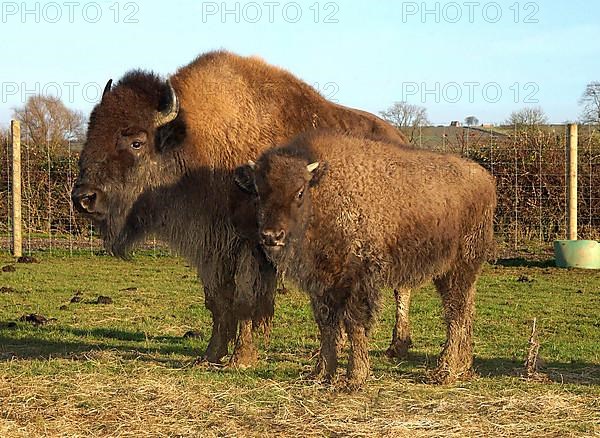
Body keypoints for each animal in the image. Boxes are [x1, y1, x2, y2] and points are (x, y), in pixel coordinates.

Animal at [70, 50, 408, 366]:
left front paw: (242, 358)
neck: (195, 142)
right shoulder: (211, 246)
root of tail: (401, 138)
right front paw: (211, 354)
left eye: (137, 142)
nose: (83, 197)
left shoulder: (251, 244)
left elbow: (247, 300)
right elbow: (218, 300)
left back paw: (397, 347)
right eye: (91, 131)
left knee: (401, 287)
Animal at [234, 130, 496, 386]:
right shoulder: (322, 282)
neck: (323, 191)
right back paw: (464, 366)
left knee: (456, 313)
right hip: (454, 272)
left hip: (459, 267)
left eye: (299, 192)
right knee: (467, 309)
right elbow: (326, 324)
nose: (271, 236)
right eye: (258, 192)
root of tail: (485, 179)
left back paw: (445, 371)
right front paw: (320, 373)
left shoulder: (358, 280)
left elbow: (354, 324)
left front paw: (355, 377)